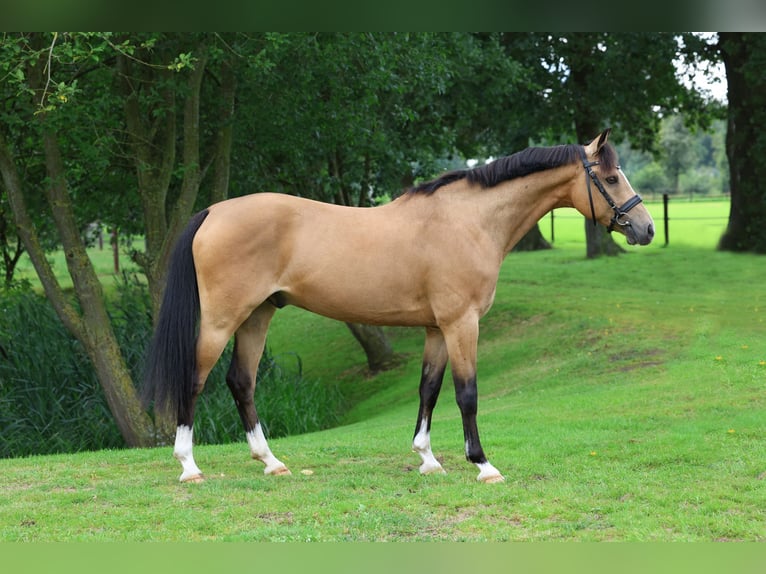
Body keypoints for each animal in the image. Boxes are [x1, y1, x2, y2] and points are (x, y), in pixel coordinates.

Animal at [142, 129, 656, 486]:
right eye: (611, 177)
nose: (646, 228)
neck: (468, 221)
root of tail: (213, 211)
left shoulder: (435, 329)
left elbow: (428, 389)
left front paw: (427, 458)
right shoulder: (462, 324)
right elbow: (466, 393)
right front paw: (483, 464)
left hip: (258, 314)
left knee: (241, 382)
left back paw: (271, 462)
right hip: (222, 319)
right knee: (195, 379)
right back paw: (189, 466)